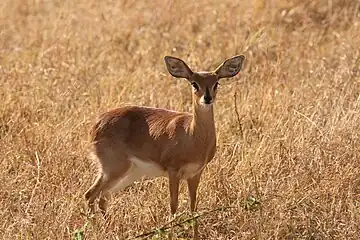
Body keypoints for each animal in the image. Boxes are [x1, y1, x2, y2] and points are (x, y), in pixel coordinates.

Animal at [86, 54, 246, 238]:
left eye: (216, 83)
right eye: (194, 83)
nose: (207, 98)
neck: (193, 136)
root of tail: (96, 124)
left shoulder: (195, 173)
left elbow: (193, 206)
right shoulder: (173, 171)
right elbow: (173, 205)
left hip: (128, 174)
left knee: (102, 197)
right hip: (114, 170)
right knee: (91, 195)